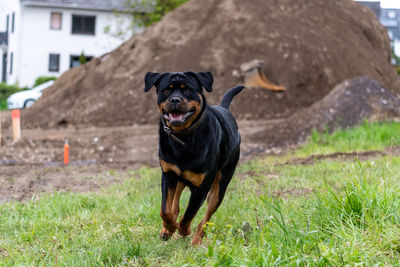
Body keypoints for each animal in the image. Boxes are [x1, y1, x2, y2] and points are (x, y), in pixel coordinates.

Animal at [144, 71, 244, 247]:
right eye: (166, 90)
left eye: (188, 89)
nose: (175, 99)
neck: (184, 137)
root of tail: (224, 109)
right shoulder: (168, 174)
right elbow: (165, 209)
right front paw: (169, 227)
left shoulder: (201, 188)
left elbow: (189, 214)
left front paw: (183, 230)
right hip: (180, 179)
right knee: (175, 205)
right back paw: (167, 230)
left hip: (220, 186)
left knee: (205, 220)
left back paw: (196, 242)